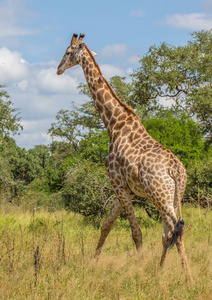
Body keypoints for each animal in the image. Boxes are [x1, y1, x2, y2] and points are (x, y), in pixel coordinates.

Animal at [56, 32, 192, 282]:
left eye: (68, 52)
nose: (59, 69)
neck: (114, 124)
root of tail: (176, 171)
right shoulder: (125, 189)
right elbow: (106, 225)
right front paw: (93, 262)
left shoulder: (117, 183)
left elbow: (136, 232)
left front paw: (140, 268)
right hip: (175, 196)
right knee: (169, 233)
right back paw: (160, 271)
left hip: (159, 195)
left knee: (174, 229)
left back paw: (187, 278)